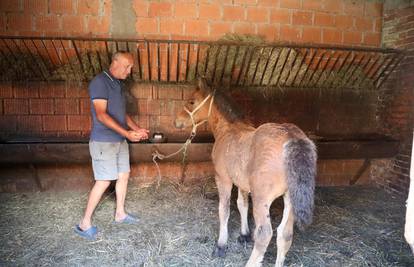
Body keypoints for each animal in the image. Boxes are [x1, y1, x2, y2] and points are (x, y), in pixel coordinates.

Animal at [173, 78, 316, 266]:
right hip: (290, 196)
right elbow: (242, 205)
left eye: (191, 101)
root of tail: (291, 135)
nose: (176, 122)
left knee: (265, 234)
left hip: (262, 199)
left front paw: (221, 246)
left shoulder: (223, 179)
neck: (228, 129)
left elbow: (224, 210)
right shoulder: (242, 183)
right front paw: (244, 235)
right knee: (285, 234)